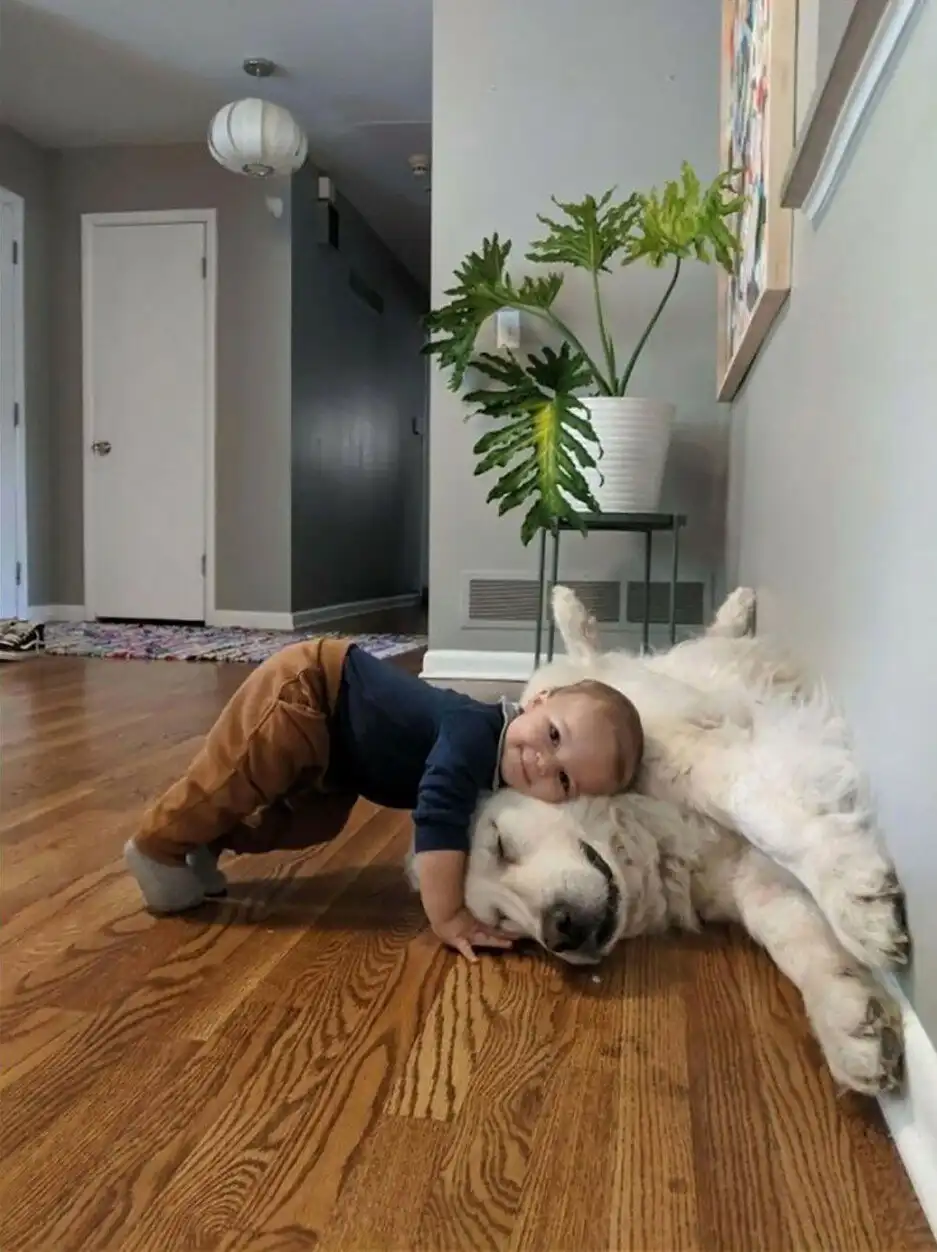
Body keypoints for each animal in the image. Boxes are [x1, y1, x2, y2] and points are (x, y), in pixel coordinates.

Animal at [412, 586, 909, 1095]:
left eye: (501, 844)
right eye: (502, 922)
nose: (559, 931)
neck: (649, 830)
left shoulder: (697, 759)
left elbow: (761, 809)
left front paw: (851, 894)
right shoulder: (744, 877)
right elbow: (793, 935)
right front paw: (849, 1019)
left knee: (622, 649)